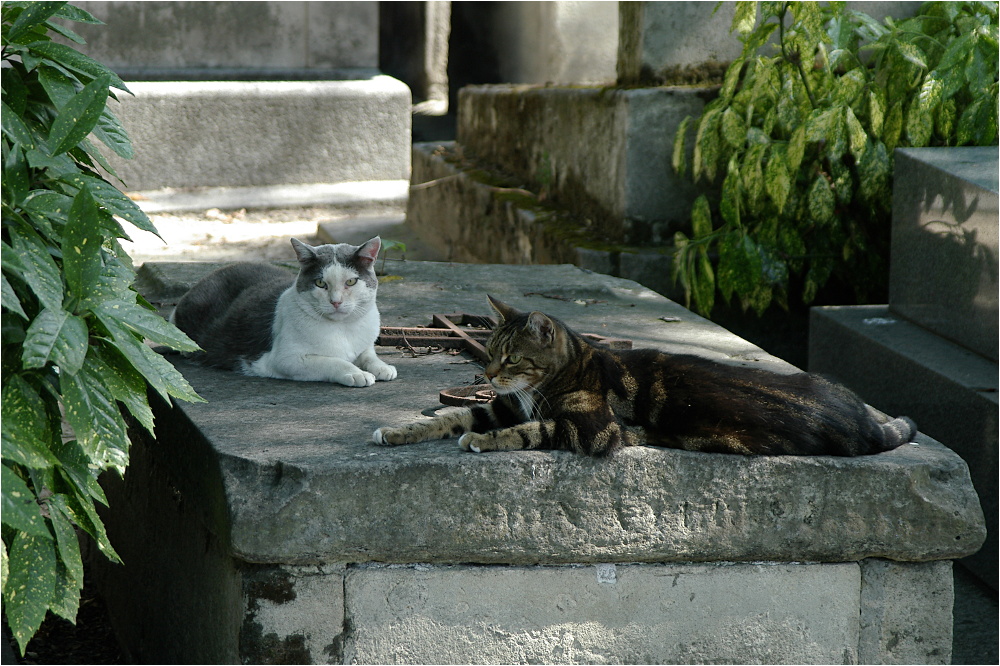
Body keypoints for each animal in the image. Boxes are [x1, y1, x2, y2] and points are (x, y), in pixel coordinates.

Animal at [170, 236, 396, 386]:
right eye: (320, 283)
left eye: (350, 282)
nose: (336, 302)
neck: (344, 329)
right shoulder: (285, 360)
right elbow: (332, 361)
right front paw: (356, 373)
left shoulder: (364, 346)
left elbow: (368, 355)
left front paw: (382, 367)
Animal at [374, 296, 916, 456]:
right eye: (488, 352)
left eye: (510, 359)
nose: (486, 372)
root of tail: (865, 419)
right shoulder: (500, 405)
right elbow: (450, 417)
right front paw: (397, 430)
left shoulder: (593, 429)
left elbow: (529, 430)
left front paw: (484, 443)